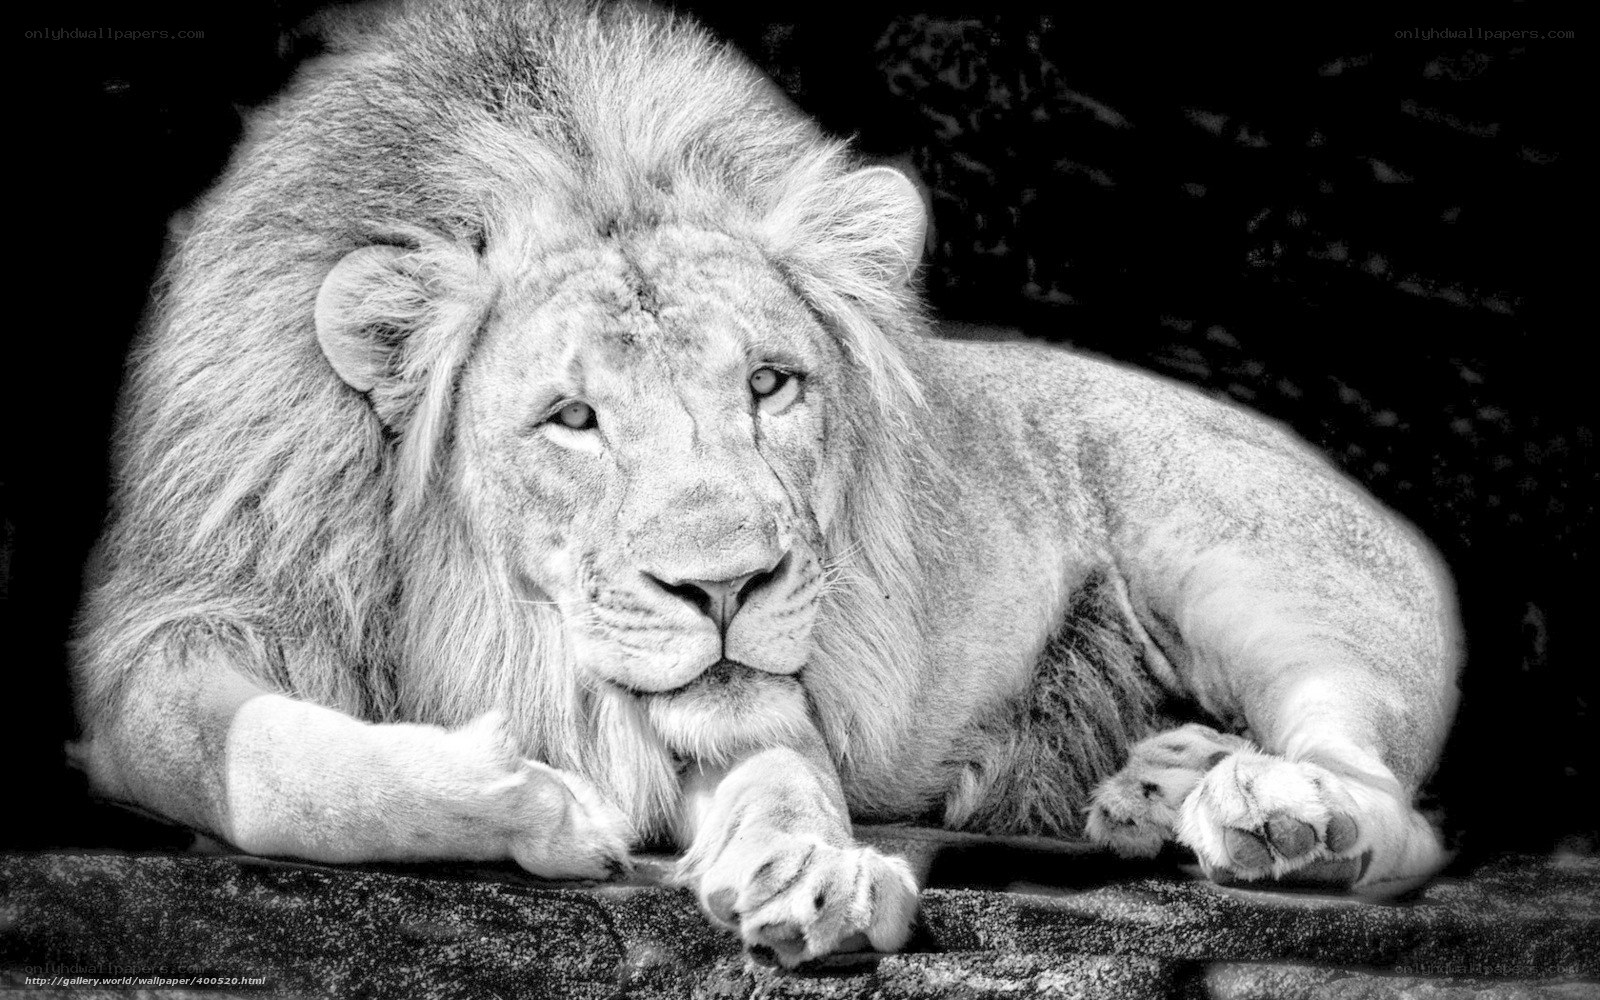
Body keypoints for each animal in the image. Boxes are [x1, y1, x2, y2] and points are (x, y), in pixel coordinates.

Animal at [71, 0, 1460, 967]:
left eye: (772, 384)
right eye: (571, 419)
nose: (727, 587)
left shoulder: (758, 701)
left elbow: (781, 768)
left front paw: (806, 867)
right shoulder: (169, 629)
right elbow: (266, 764)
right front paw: (538, 798)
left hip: (1247, 574)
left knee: (1385, 796)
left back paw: (1285, 816)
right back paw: (1154, 782)